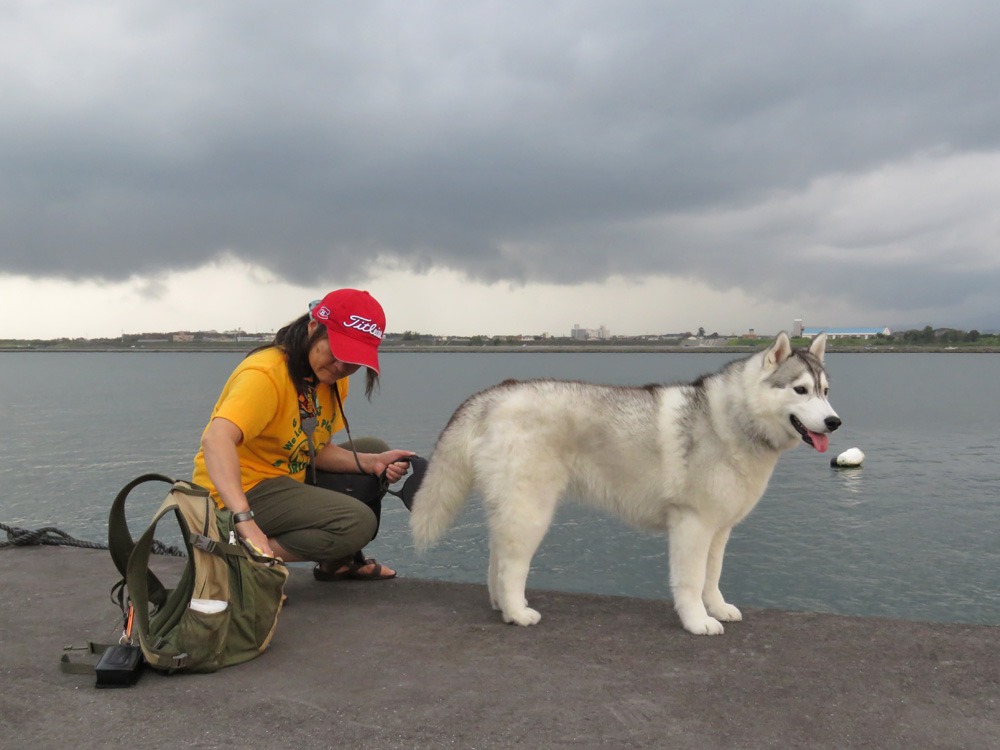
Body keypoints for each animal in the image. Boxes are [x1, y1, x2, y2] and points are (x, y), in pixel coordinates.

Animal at [410, 334, 840, 636]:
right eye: (800, 390)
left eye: (825, 391)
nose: (834, 422)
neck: (735, 421)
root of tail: (494, 394)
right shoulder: (692, 524)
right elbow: (690, 580)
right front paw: (696, 620)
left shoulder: (719, 529)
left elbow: (712, 576)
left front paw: (716, 607)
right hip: (531, 510)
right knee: (512, 566)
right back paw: (518, 612)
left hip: (512, 507)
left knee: (496, 558)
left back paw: (502, 607)